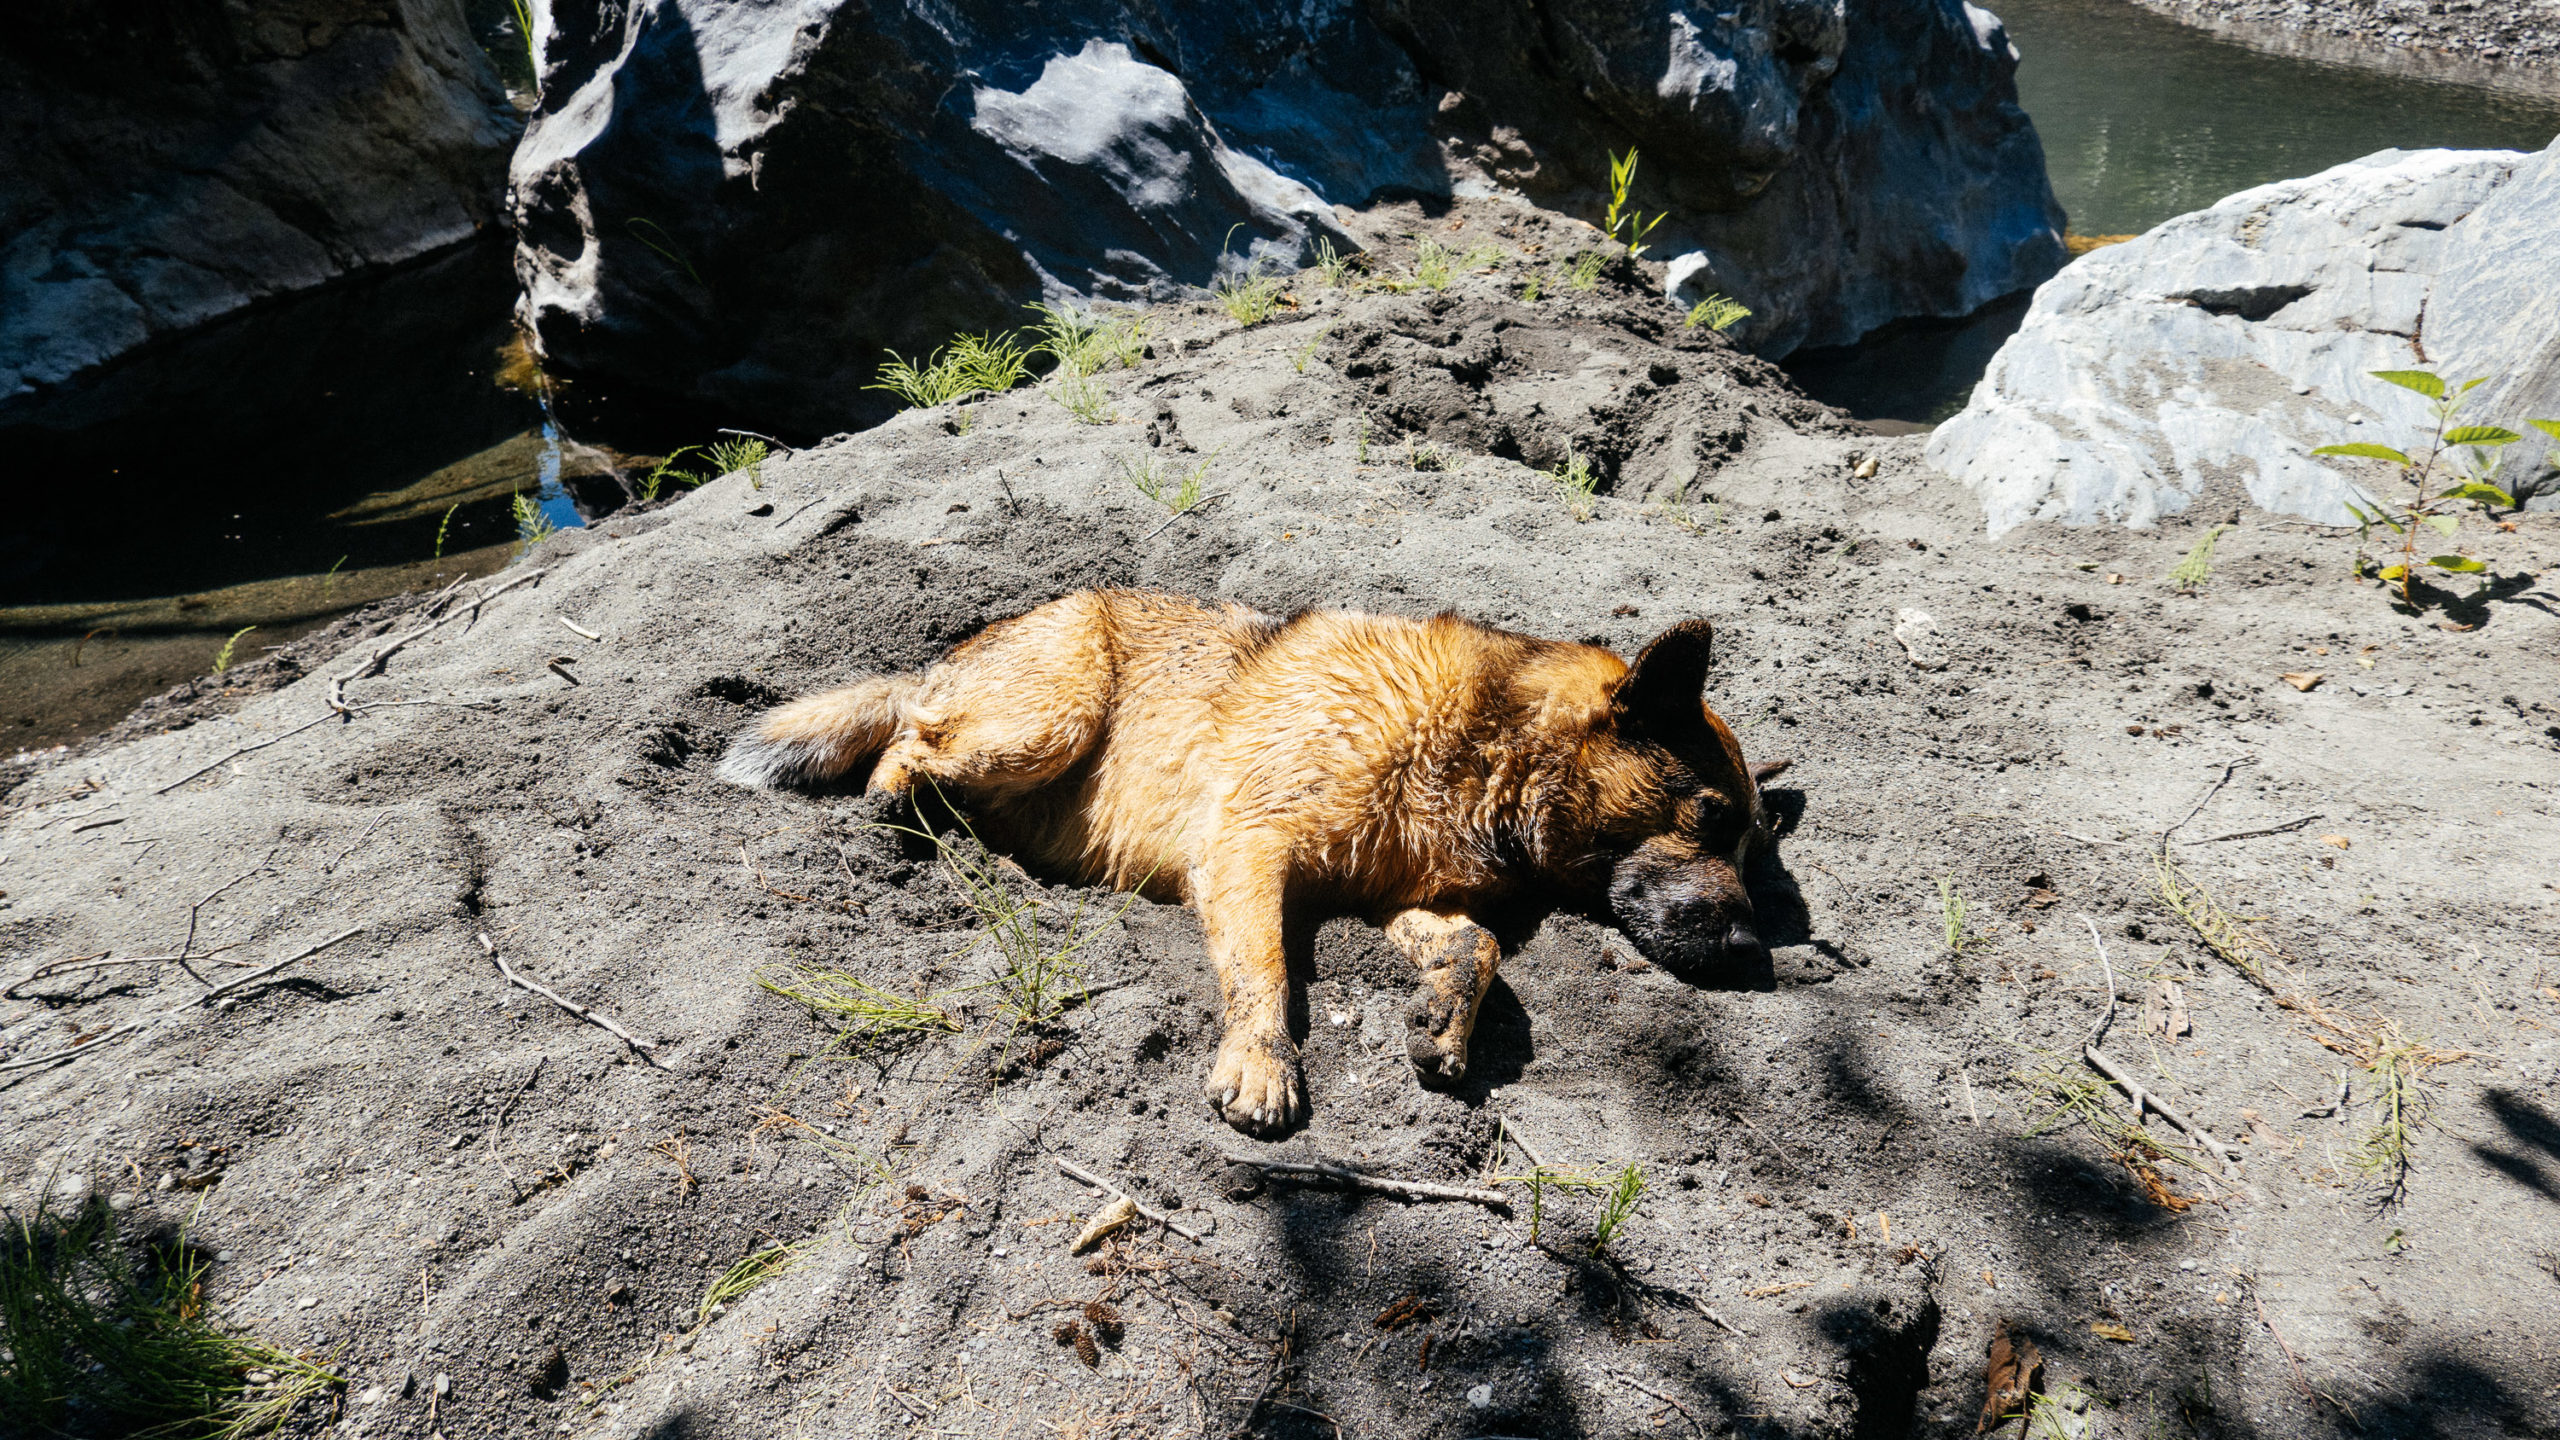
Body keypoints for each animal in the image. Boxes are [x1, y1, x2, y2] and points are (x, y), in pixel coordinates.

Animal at [721, 584, 1792, 1132]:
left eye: (1747, 843)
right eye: (1708, 817)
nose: (1753, 952)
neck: (1485, 748)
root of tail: (954, 651)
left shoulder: (1397, 897)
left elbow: (1478, 950)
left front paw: (1443, 1019)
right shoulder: (1247, 849)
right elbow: (1266, 972)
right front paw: (1261, 1061)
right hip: (1048, 718)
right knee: (905, 744)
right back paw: (925, 820)